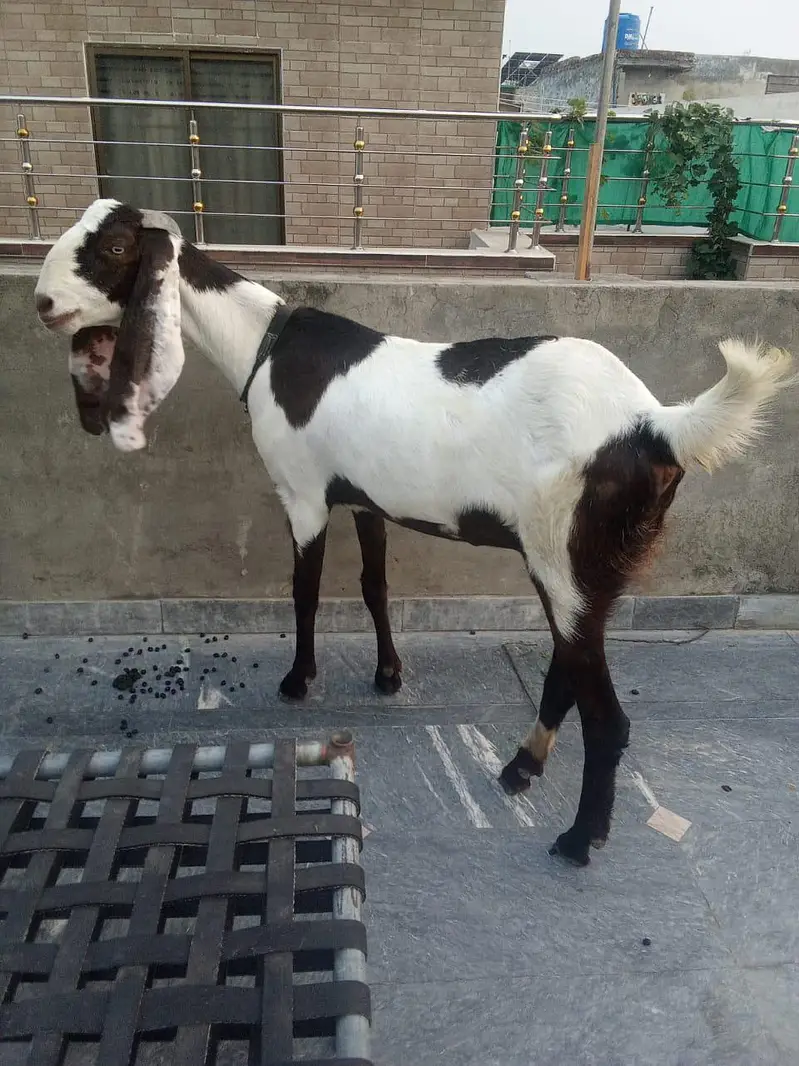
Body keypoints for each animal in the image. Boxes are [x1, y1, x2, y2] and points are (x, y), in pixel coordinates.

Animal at [35, 199, 793, 865]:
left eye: (113, 247)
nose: (43, 303)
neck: (264, 348)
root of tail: (654, 422)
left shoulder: (304, 494)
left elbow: (305, 593)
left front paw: (298, 680)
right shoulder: (367, 499)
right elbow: (374, 585)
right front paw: (388, 675)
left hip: (566, 551)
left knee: (607, 714)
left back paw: (579, 839)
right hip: (578, 566)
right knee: (567, 658)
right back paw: (521, 765)